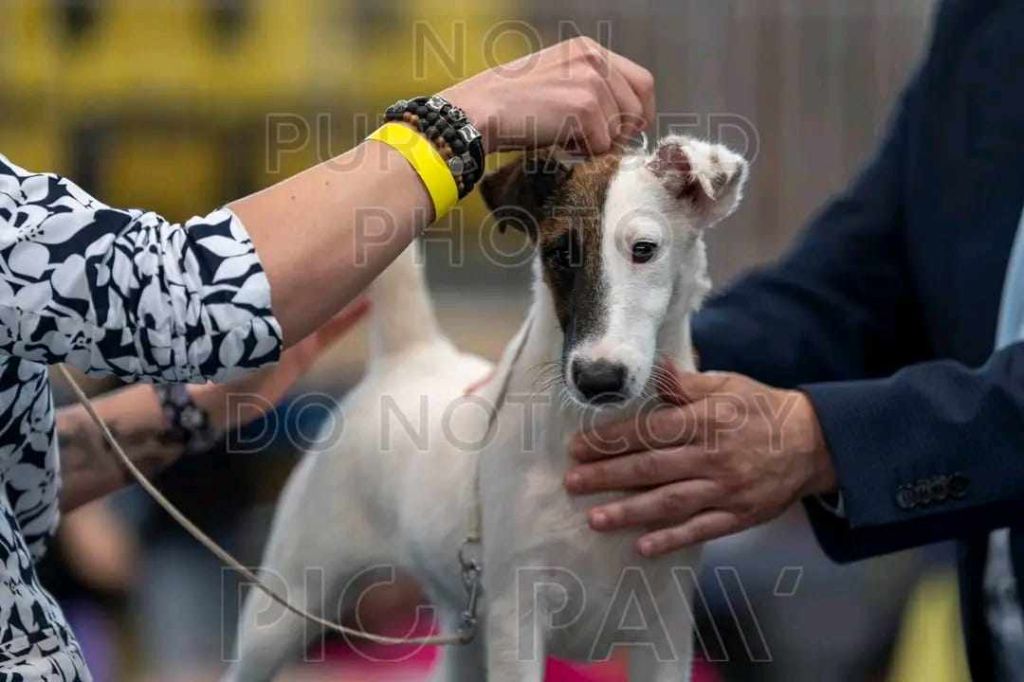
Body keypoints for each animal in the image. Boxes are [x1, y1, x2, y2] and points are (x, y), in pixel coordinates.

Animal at [228, 135, 749, 675]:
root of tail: (410, 356)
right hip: (288, 601)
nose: (597, 379)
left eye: (644, 250)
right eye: (559, 253)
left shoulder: (667, 626)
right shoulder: (516, 618)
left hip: (463, 626)